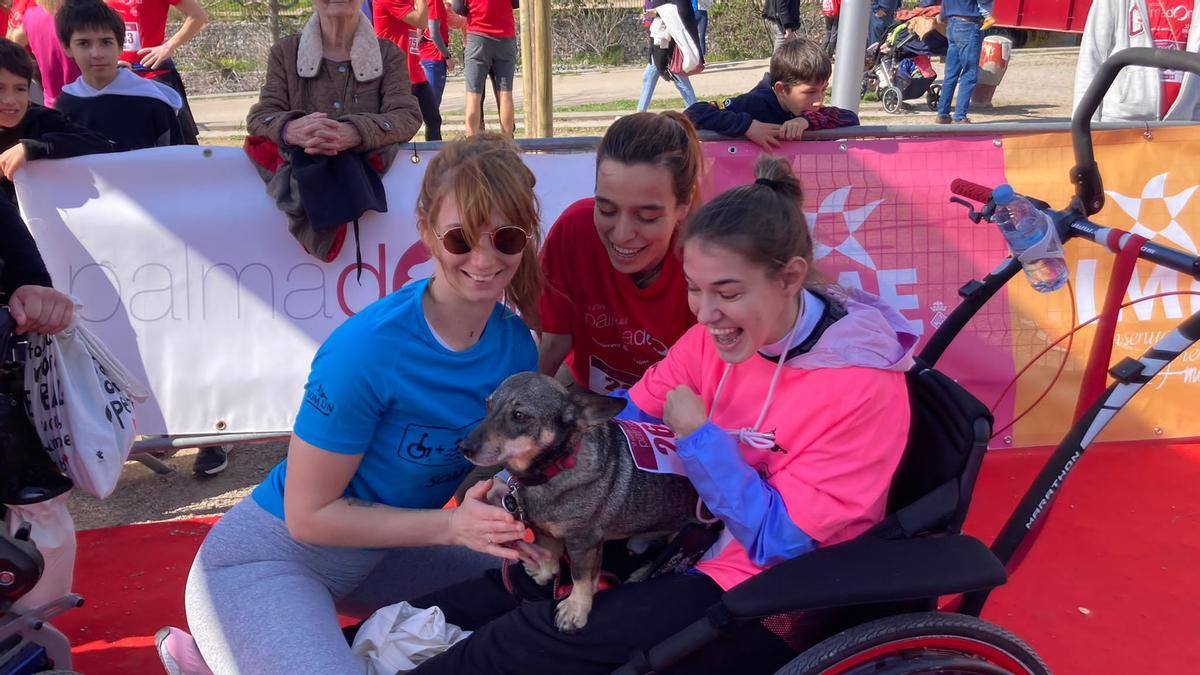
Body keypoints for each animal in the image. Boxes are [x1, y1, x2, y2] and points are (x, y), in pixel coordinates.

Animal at [460, 372, 700, 629]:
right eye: (488, 405)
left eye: (519, 415)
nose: (464, 447)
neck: (553, 470)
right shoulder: (546, 530)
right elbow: (550, 552)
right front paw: (546, 572)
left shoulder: (584, 544)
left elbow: (581, 578)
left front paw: (576, 608)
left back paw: (641, 572)